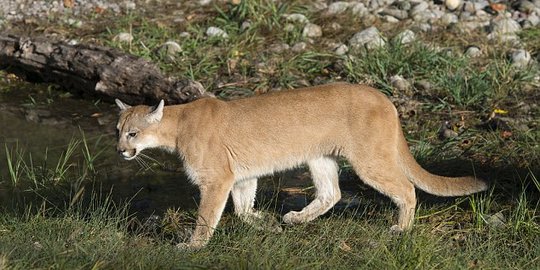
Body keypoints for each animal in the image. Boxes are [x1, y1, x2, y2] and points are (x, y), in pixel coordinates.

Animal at [116, 82, 488, 249]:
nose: (120, 150)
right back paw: (294, 219)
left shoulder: (216, 180)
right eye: (117, 130)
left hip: (368, 159)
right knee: (331, 193)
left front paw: (192, 246)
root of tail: (383, 97)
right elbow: (243, 208)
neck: (177, 126)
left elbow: (208, 217)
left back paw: (402, 228)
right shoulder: (239, 176)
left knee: (407, 187)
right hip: (319, 156)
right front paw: (265, 224)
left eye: (133, 133)